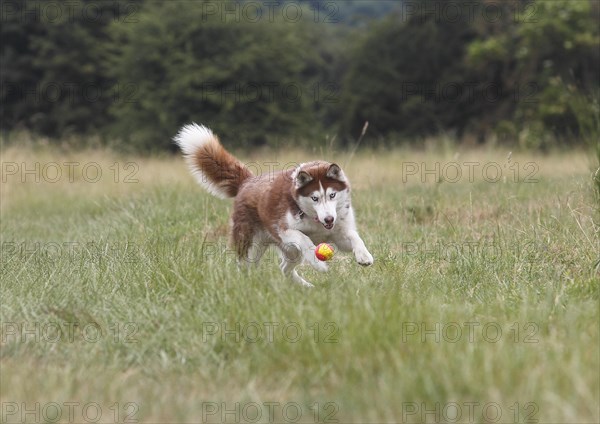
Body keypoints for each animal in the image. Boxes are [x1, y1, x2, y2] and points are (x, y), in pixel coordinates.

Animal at [173, 123, 372, 288]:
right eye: (314, 198)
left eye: (332, 195)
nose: (329, 219)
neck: (315, 221)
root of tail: (248, 181)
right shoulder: (284, 231)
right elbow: (304, 240)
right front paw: (319, 264)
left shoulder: (338, 233)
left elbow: (354, 237)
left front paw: (364, 255)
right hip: (251, 241)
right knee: (245, 264)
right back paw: (245, 283)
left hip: (289, 251)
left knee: (284, 267)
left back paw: (305, 286)